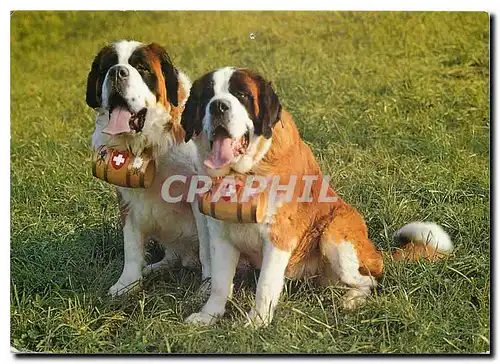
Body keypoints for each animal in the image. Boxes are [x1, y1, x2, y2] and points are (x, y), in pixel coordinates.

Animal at [86, 39, 211, 296]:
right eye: (107, 67)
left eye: (141, 68)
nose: (117, 72)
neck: (149, 142)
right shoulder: (127, 200)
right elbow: (131, 245)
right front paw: (127, 283)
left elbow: (208, 249)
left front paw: (208, 286)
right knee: (173, 256)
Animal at [180, 67, 454, 328]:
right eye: (206, 96)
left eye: (242, 95)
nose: (218, 106)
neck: (244, 172)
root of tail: (374, 251)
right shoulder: (220, 235)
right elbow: (219, 283)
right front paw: (208, 316)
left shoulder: (279, 236)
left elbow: (266, 285)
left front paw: (257, 321)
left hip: (335, 236)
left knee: (369, 280)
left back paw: (352, 299)